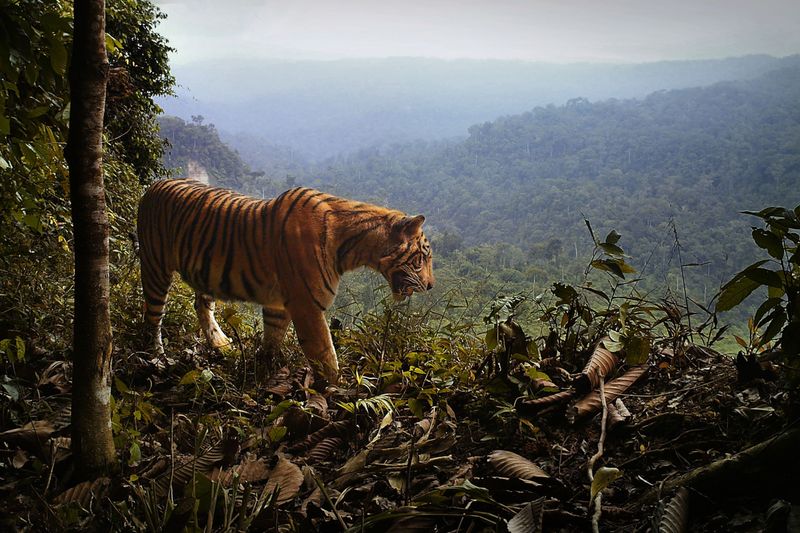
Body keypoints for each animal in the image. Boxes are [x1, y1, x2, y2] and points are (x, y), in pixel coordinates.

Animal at [136, 178, 434, 384]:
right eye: (423, 258)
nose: (431, 285)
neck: (354, 248)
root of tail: (154, 185)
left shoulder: (278, 304)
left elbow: (273, 336)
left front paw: (264, 368)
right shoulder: (307, 306)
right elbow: (325, 353)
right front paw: (339, 390)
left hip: (204, 273)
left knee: (201, 304)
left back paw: (220, 343)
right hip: (155, 268)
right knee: (152, 317)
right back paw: (156, 357)